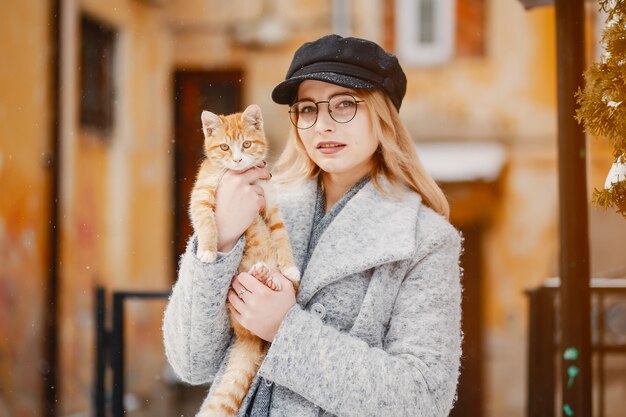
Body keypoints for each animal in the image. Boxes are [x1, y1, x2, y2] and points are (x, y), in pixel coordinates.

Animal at [189, 104, 298, 416]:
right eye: (225, 147)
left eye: (246, 144)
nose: (237, 159)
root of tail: (248, 339)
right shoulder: (201, 194)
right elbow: (206, 221)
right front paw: (208, 250)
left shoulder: (272, 206)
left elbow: (282, 236)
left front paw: (290, 267)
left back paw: (270, 278)